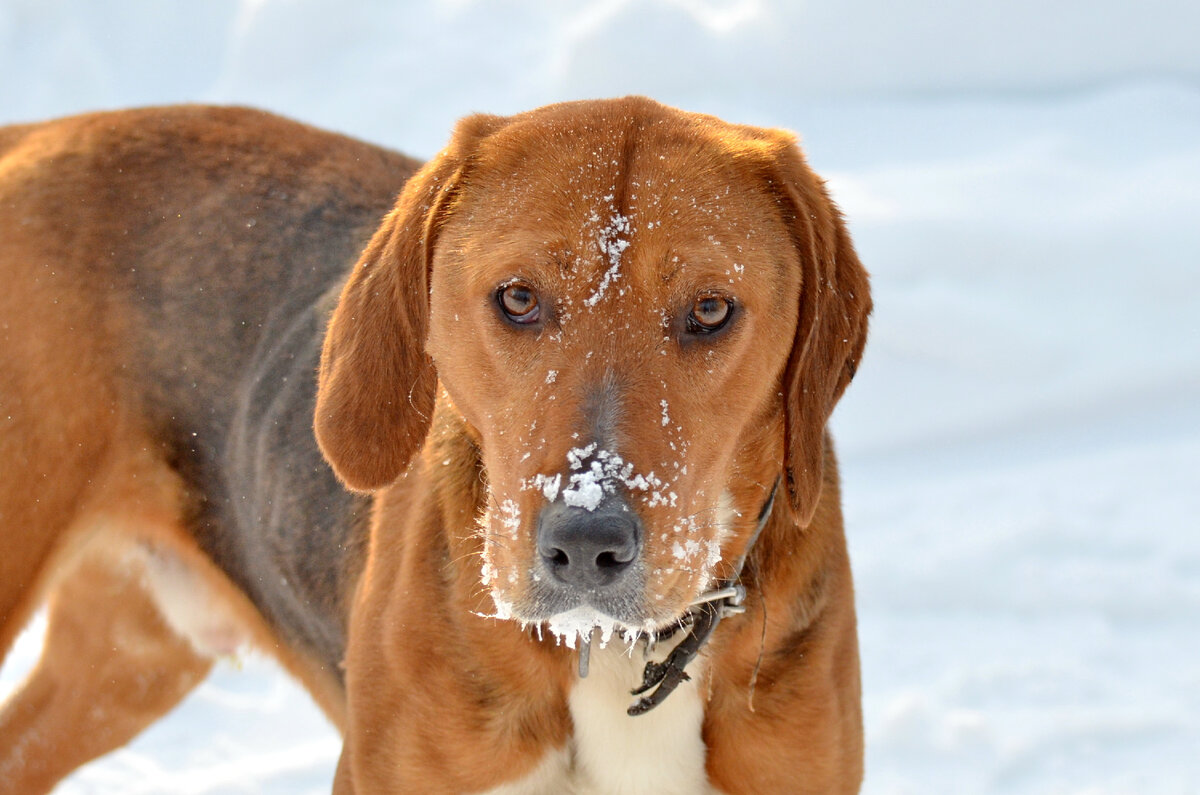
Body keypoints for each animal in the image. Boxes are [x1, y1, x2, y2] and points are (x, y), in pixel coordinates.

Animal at [0, 99, 868, 795]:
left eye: (712, 309)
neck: (610, 652)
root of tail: (36, 134)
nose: (587, 546)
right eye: (517, 298)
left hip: (129, 657)